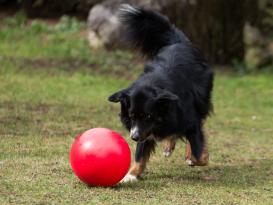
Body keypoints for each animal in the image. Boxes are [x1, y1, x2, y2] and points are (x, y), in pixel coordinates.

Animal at [108, 4, 212, 182]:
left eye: (149, 115)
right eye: (131, 115)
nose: (133, 137)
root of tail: (178, 42)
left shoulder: (186, 116)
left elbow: (198, 150)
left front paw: (196, 157)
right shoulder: (145, 129)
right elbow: (141, 152)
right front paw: (131, 174)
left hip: (201, 98)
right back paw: (168, 145)